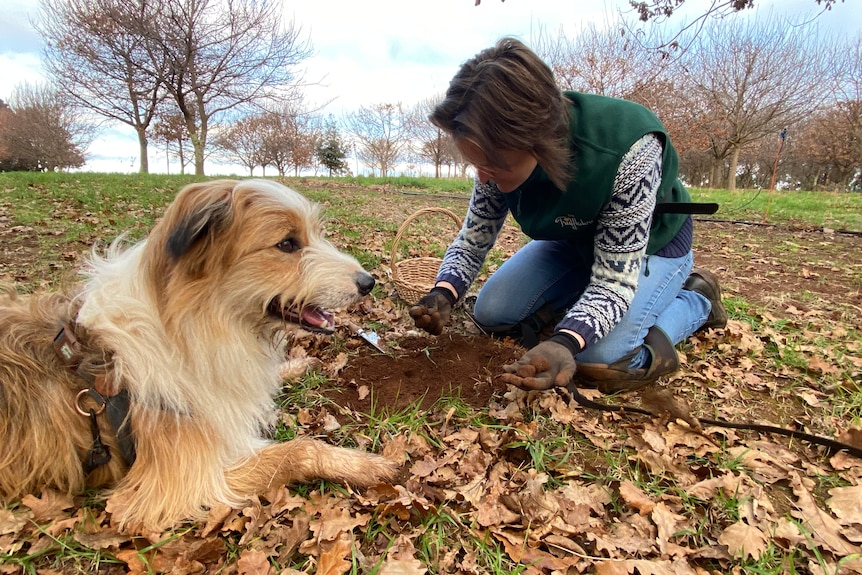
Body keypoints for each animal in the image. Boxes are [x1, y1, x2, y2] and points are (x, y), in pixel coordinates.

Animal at [0, 179, 398, 532]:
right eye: (287, 243)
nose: (369, 282)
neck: (196, 324)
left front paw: (296, 366)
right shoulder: (181, 485)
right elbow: (299, 449)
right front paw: (366, 465)